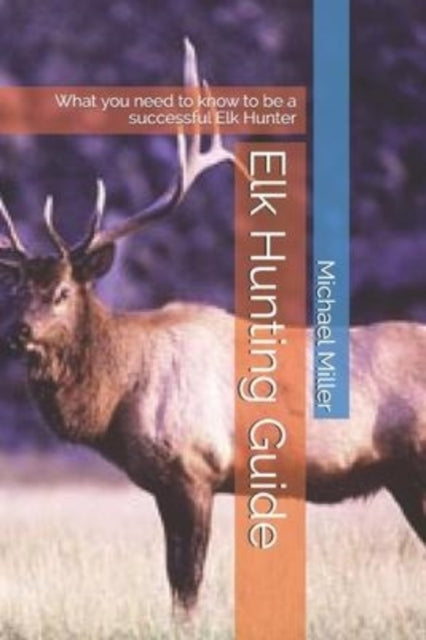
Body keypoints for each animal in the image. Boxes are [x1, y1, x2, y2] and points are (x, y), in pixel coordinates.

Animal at [0, 39, 425, 619]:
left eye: (62, 292)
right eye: (15, 289)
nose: (17, 332)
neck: (118, 395)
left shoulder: (194, 470)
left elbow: (187, 580)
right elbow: (176, 579)